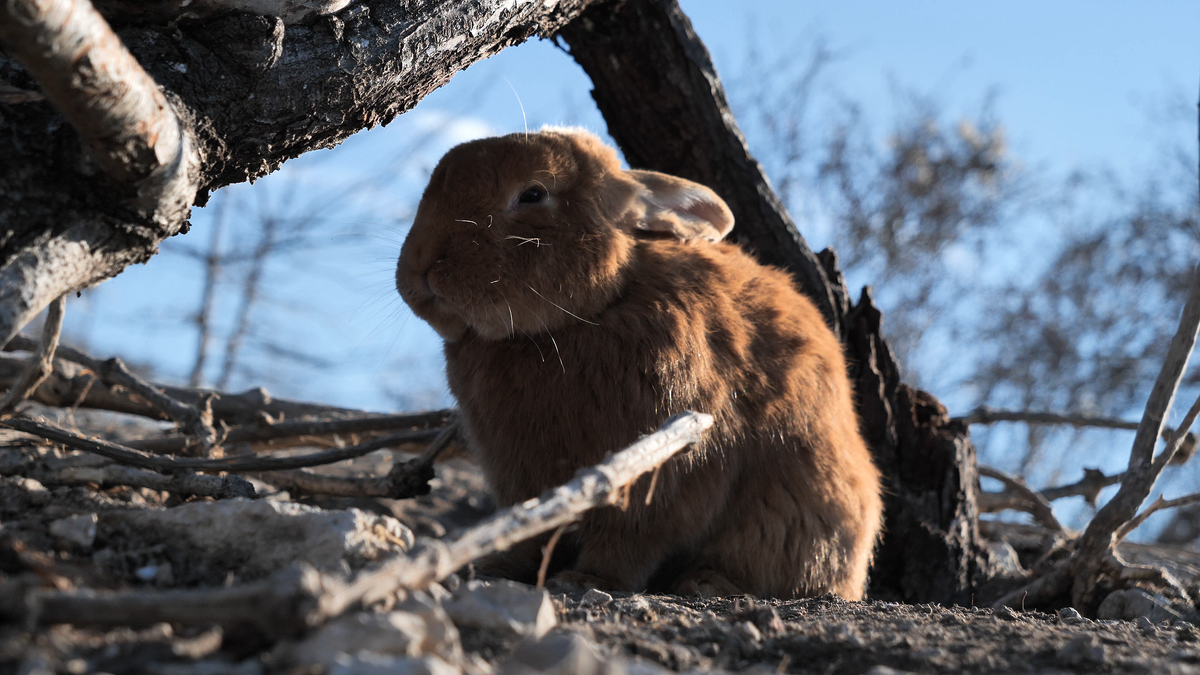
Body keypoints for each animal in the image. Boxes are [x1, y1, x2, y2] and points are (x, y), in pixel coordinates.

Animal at [393, 127, 883, 598]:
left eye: (532, 194)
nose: (421, 264)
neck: (593, 309)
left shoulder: (663, 471)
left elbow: (631, 538)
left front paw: (585, 579)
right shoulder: (519, 477)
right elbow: (526, 531)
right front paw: (495, 568)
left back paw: (706, 582)